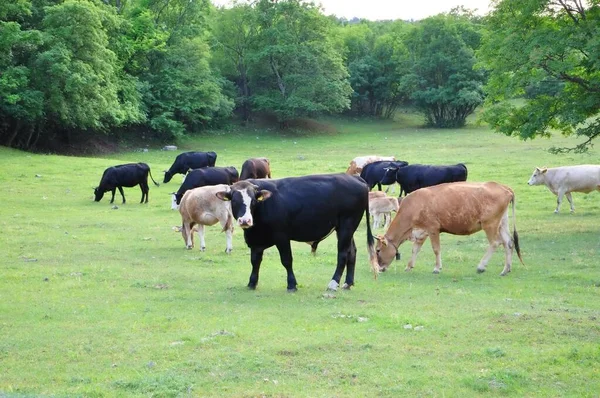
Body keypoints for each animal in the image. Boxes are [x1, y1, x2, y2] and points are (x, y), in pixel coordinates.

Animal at [213, 175, 378, 292]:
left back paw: (333, 283)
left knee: (343, 254)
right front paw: (252, 283)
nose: (245, 220)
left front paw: (291, 284)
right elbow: (255, 261)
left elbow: (286, 260)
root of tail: (355, 178)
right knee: (352, 252)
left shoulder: (282, 236)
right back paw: (348, 283)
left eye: (253, 201)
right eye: (234, 200)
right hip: (345, 228)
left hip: (346, 226)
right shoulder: (256, 241)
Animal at [378, 182, 524, 276]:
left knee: (495, 243)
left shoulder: (433, 228)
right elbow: (415, 249)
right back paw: (506, 269)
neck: (413, 206)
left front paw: (437, 268)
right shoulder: (421, 232)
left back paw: (481, 266)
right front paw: (409, 266)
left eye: (378, 250)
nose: (379, 268)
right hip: (502, 222)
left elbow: (436, 249)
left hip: (489, 223)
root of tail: (502, 187)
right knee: (508, 242)